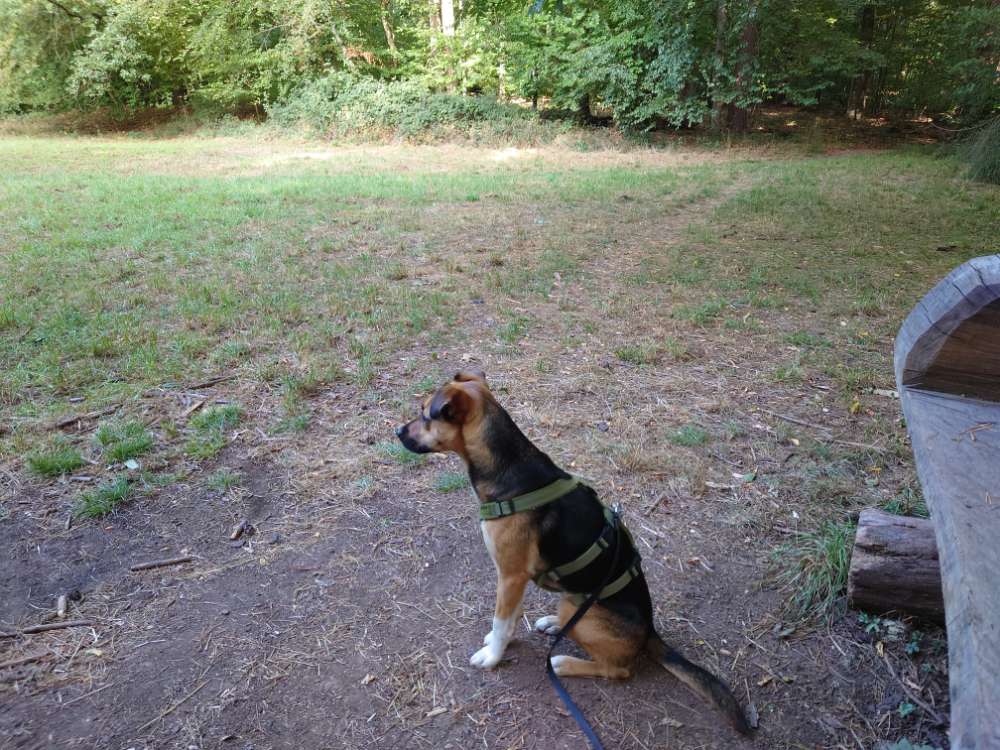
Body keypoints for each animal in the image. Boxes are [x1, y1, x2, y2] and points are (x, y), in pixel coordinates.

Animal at [396, 370, 752, 736]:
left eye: (425, 414)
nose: (397, 433)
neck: (509, 468)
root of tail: (650, 631)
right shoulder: (516, 580)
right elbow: (509, 619)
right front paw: (501, 641)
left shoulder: (510, 574)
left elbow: (501, 620)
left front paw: (492, 656)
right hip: (571, 602)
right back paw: (555, 625)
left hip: (582, 615)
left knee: (617, 670)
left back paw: (562, 662)